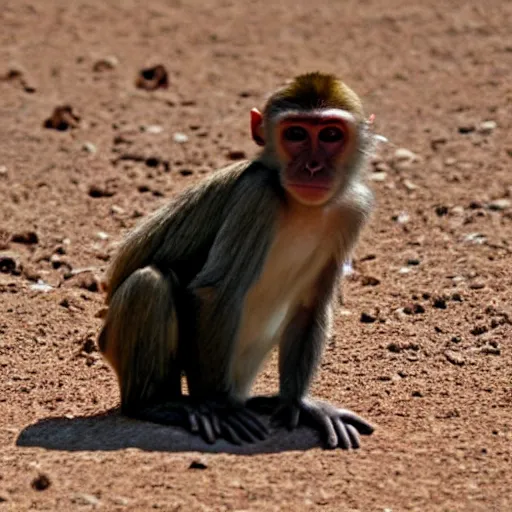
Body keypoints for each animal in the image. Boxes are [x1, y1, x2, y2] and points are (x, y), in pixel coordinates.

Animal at [97, 72, 376, 448]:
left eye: (331, 135)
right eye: (296, 134)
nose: (313, 167)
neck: (301, 206)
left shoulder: (353, 209)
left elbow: (311, 304)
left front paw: (297, 403)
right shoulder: (257, 195)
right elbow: (217, 291)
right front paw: (218, 408)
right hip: (114, 342)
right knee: (150, 282)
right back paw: (158, 404)